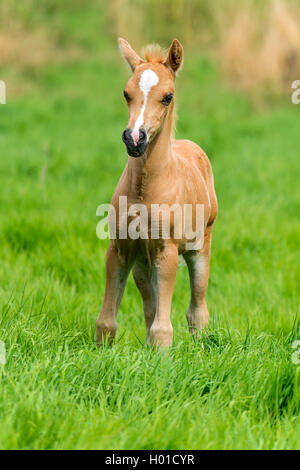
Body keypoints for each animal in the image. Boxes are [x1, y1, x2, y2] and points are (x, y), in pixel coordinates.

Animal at [97, 37, 217, 348]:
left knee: (197, 309)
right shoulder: (121, 247)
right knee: (150, 306)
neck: (145, 190)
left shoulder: (167, 250)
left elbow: (163, 328)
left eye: (167, 96)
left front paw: (162, 356)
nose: (134, 138)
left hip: (200, 246)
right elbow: (107, 321)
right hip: (143, 262)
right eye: (126, 94)